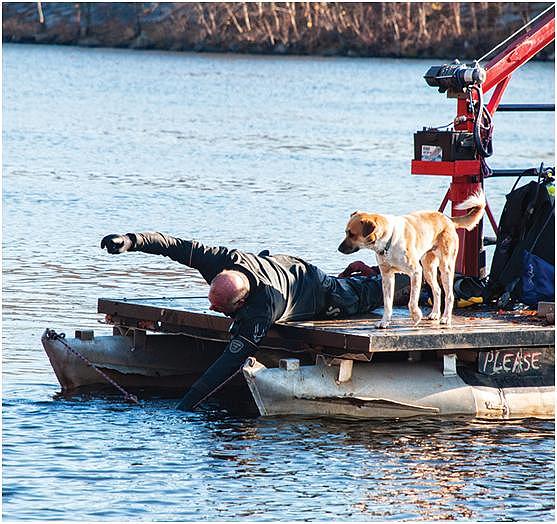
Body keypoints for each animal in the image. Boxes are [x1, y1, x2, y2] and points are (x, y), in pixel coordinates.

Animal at [336, 190, 484, 330]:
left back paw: (446, 318)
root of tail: (448, 219)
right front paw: (384, 322)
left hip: (445, 267)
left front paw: (416, 316)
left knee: (449, 295)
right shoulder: (387, 276)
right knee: (437, 290)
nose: (338, 249)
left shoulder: (416, 272)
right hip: (428, 268)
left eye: (352, 234)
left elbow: (412, 301)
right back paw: (435, 314)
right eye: (345, 232)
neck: (388, 242)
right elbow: (387, 303)